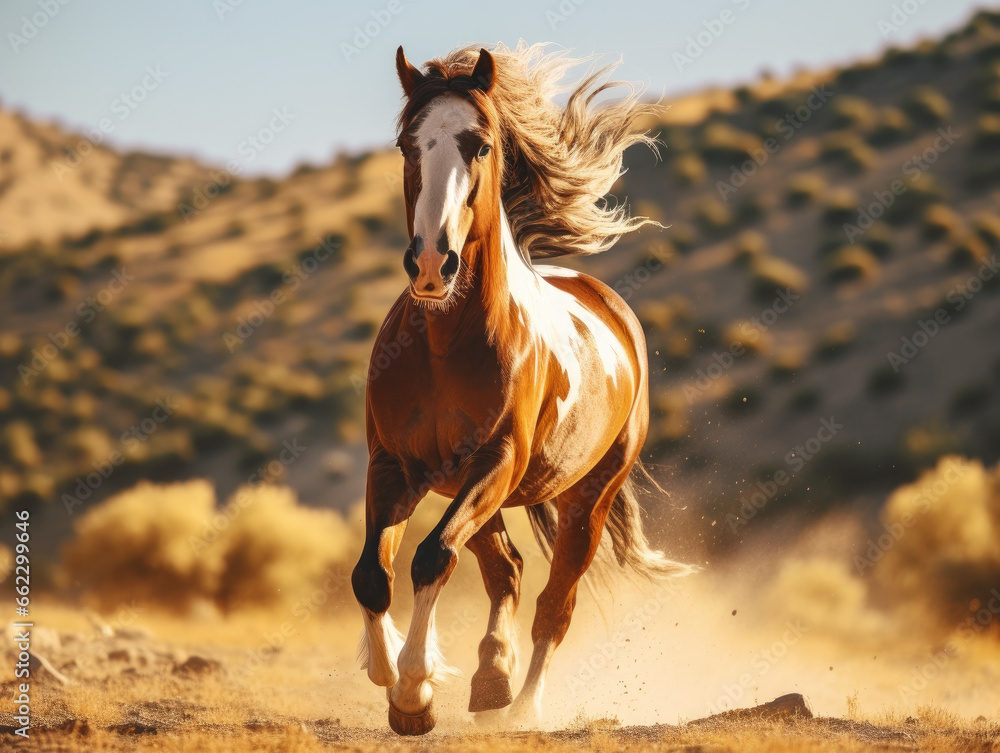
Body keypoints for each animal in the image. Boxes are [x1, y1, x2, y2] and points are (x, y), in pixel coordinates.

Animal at [351, 42, 691, 736]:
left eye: (480, 144)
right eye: (405, 144)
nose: (433, 263)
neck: (443, 344)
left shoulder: (496, 461)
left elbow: (430, 558)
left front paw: (415, 691)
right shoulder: (393, 466)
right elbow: (373, 574)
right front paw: (394, 676)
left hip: (584, 497)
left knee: (554, 603)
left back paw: (524, 706)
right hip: (476, 491)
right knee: (504, 569)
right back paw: (490, 680)